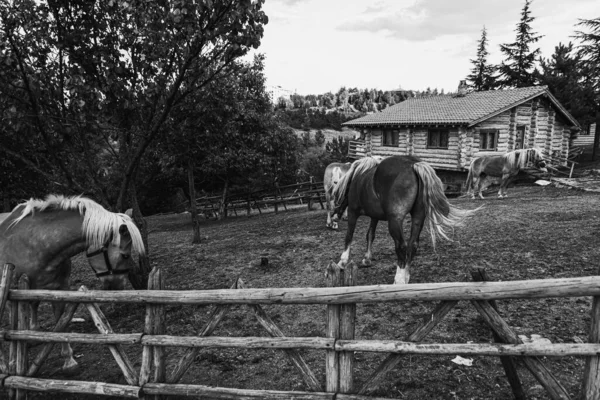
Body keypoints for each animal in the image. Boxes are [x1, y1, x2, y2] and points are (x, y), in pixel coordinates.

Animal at [0, 195, 145, 370]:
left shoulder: (58, 290)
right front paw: (12, 362)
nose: (119, 287)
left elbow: (61, 324)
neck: (34, 245)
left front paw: (69, 360)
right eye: (125, 255)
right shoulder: (10, 295)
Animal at [332, 155, 478, 284]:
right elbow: (370, 235)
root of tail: (413, 165)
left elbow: (349, 236)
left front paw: (343, 261)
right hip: (418, 218)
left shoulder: (353, 212)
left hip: (395, 221)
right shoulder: (374, 217)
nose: (335, 215)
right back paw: (406, 276)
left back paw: (399, 279)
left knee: (402, 246)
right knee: (412, 245)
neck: (358, 179)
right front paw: (367, 259)